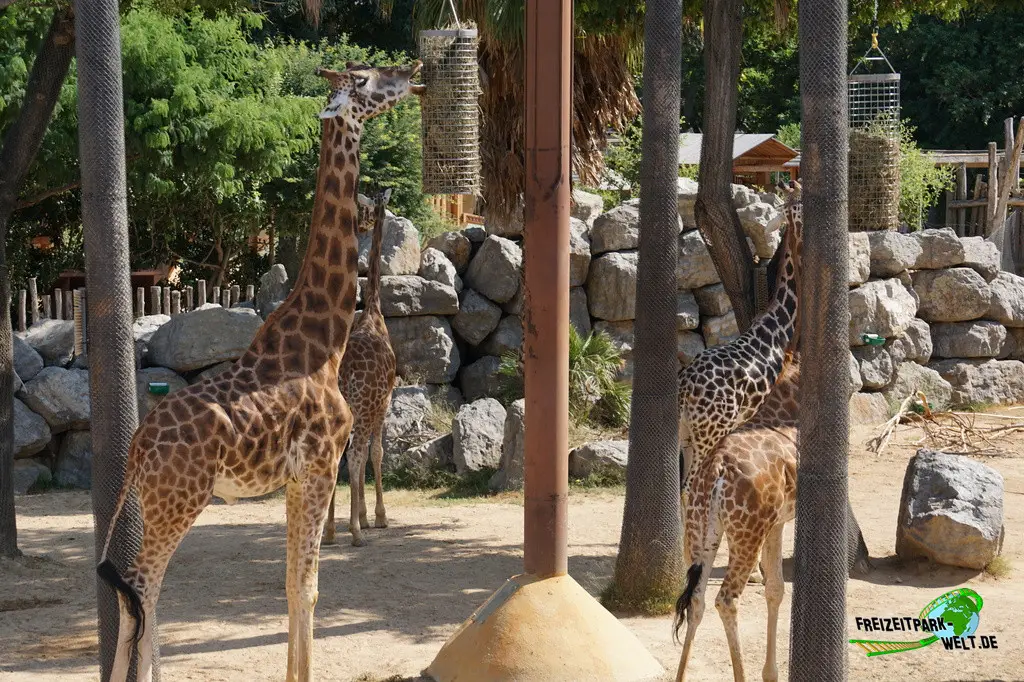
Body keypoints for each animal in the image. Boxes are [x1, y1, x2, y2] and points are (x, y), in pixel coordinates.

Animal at [94, 61, 425, 682]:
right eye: (365, 80)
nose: (412, 74)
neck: (325, 340)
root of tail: (137, 450)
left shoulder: (296, 479)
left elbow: (292, 587)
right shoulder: (321, 464)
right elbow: (309, 587)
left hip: (155, 504)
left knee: (134, 596)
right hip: (179, 501)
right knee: (144, 589)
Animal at [672, 355, 801, 682]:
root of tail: (717, 469)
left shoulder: (776, 523)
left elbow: (775, 588)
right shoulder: (776, 523)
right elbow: (777, 588)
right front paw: (770, 672)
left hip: (704, 530)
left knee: (696, 598)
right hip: (746, 534)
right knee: (726, 599)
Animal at [677, 180, 803, 581]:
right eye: (799, 206)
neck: (777, 332)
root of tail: (684, 389)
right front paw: (761, 569)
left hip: (688, 435)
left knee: (686, 488)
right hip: (708, 433)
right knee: (690, 488)